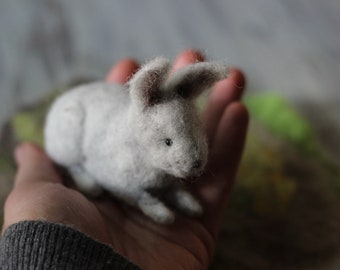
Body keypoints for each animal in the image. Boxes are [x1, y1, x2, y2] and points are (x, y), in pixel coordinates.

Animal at [44, 57, 228, 224]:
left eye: (198, 131)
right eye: (168, 141)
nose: (196, 164)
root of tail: (60, 101)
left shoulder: (168, 184)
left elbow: (178, 192)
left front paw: (193, 207)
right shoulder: (121, 184)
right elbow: (141, 197)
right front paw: (163, 215)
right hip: (68, 146)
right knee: (72, 166)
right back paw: (90, 185)